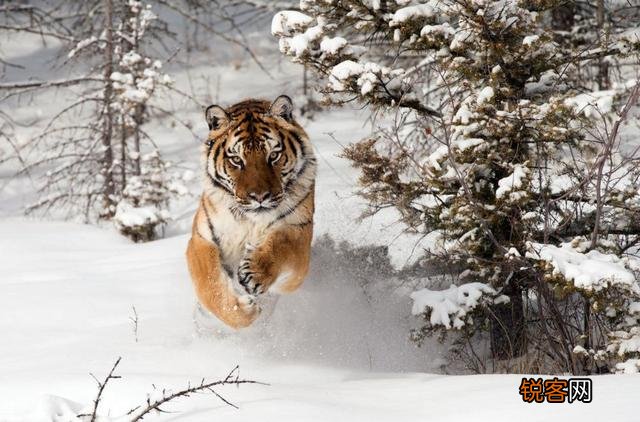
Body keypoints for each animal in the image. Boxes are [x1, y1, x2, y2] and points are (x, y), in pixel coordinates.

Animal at [186, 95, 316, 329]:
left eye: (273, 155)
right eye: (237, 160)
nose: (259, 196)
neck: (250, 221)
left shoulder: (299, 232)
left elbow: (282, 244)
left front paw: (254, 273)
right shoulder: (201, 238)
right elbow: (209, 285)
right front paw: (244, 310)